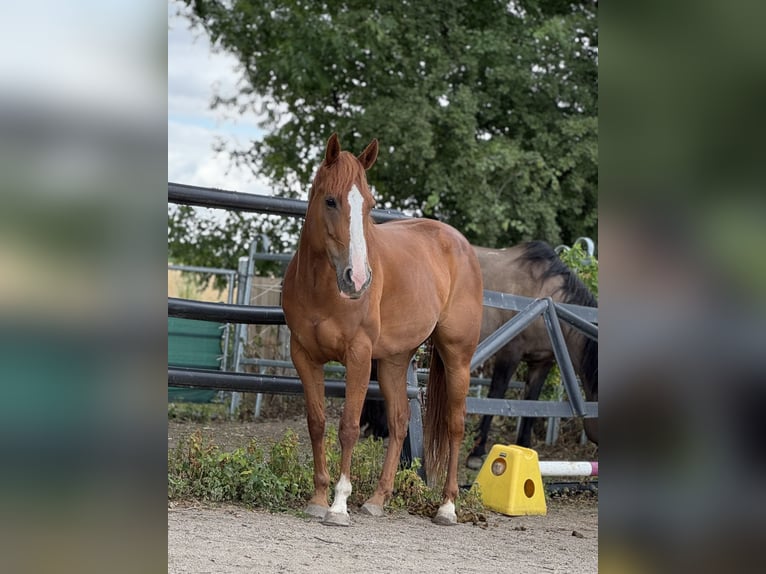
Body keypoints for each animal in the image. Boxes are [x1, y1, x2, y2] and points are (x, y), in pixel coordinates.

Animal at [281, 133, 483, 526]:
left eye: (370, 205)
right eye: (330, 200)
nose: (358, 279)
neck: (321, 287)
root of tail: (460, 244)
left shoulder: (358, 356)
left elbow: (348, 426)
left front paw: (338, 505)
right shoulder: (304, 355)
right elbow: (316, 422)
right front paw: (317, 498)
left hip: (457, 357)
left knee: (455, 425)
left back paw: (447, 506)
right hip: (394, 360)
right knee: (400, 421)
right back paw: (378, 499)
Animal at [465, 241, 598, 469]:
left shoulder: (542, 362)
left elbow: (532, 402)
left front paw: (524, 448)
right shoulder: (509, 352)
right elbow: (496, 394)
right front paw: (477, 451)